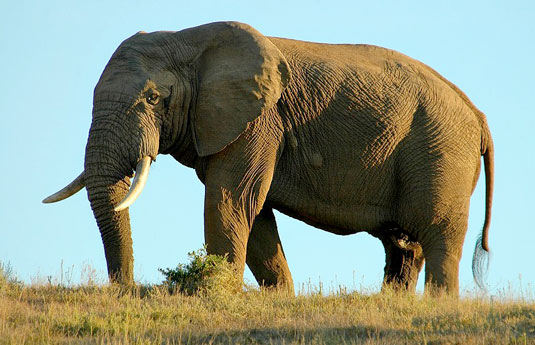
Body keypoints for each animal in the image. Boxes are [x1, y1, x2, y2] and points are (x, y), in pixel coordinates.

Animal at [44, 21, 496, 294]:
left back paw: (439, 303)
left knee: (437, 235)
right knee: (403, 246)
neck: (186, 38)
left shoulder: (259, 121)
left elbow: (229, 201)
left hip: (441, 152)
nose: (126, 289)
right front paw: (279, 297)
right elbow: (253, 213)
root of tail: (478, 115)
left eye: (154, 98)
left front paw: (216, 293)